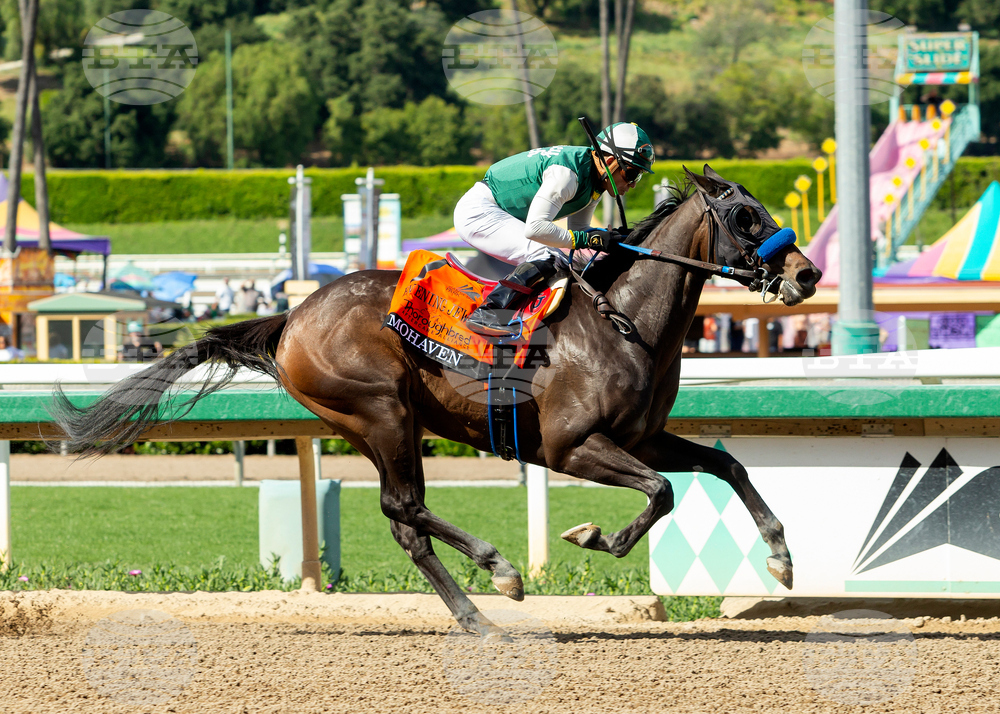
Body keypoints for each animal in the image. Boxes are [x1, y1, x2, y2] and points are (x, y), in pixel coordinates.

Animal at [52, 165, 821, 640]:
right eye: (746, 217)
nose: (808, 273)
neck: (622, 321)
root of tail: (293, 315)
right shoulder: (572, 446)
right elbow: (661, 492)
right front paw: (594, 536)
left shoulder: (641, 435)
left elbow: (726, 467)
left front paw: (782, 558)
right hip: (382, 411)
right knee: (404, 507)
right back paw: (499, 571)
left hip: (374, 424)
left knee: (405, 521)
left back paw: (478, 613)